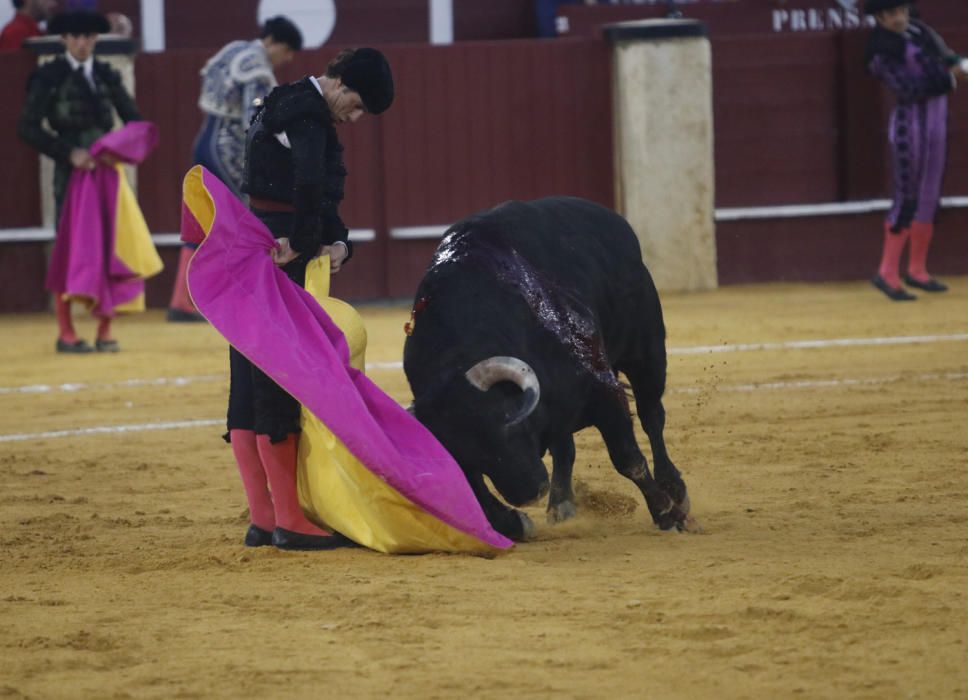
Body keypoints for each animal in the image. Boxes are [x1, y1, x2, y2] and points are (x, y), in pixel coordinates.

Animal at [404, 197, 692, 540]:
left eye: (508, 423)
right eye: (465, 450)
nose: (530, 492)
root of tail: (611, 219)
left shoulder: (603, 389)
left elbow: (628, 459)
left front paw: (667, 514)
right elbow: (472, 485)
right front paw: (514, 522)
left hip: (646, 353)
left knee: (652, 417)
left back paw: (674, 488)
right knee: (564, 445)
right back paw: (561, 502)